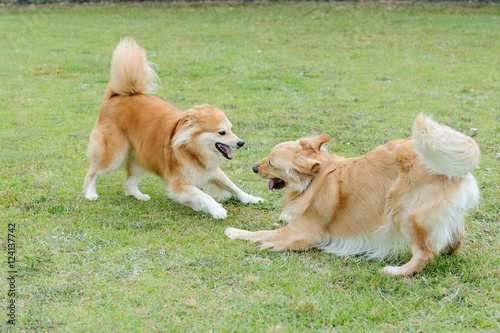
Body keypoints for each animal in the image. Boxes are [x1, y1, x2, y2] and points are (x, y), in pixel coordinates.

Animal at [83, 38, 262, 218]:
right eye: (222, 132)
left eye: (231, 129)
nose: (241, 143)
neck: (192, 149)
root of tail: (116, 96)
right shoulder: (179, 182)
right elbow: (203, 195)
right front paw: (217, 210)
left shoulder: (210, 171)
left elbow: (233, 186)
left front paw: (251, 198)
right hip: (115, 155)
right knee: (93, 171)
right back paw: (91, 193)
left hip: (140, 157)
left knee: (129, 183)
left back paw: (139, 196)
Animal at [226, 115, 480, 274]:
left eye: (271, 163)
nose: (253, 168)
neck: (315, 178)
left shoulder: (302, 235)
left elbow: (261, 234)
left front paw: (235, 232)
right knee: (454, 237)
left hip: (404, 212)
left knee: (425, 253)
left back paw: (397, 271)